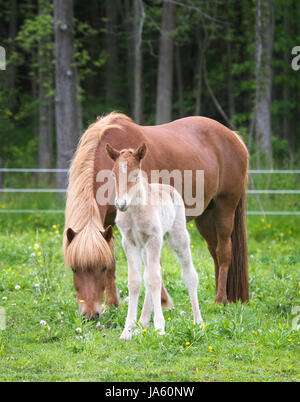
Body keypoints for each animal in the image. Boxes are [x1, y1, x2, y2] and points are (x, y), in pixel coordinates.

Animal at [63, 112, 248, 318]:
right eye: (74, 269)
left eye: (100, 268)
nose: (89, 314)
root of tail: (234, 137)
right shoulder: (107, 224)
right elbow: (112, 260)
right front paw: (111, 304)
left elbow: (152, 265)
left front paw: (162, 301)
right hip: (206, 218)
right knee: (214, 251)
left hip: (225, 209)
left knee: (223, 252)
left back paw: (220, 299)